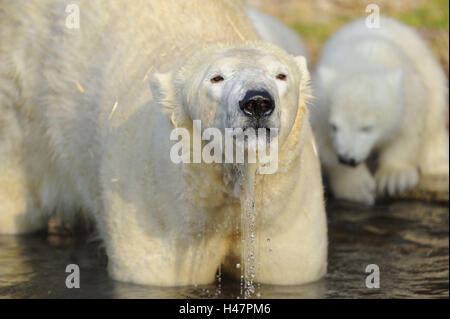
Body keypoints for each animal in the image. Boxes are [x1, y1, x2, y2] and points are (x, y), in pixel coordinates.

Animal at [0, 0, 326, 288]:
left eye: (281, 74)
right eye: (216, 78)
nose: (257, 102)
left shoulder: (286, 214)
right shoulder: (156, 208)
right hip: (21, 101)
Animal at [312, 16, 448, 205]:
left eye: (367, 128)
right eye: (335, 126)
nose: (347, 158)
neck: (361, 59)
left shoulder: (409, 90)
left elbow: (409, 131)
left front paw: (394, 179)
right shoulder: (320, 104)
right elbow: (322, 144)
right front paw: (357, 188)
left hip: (431, 74)